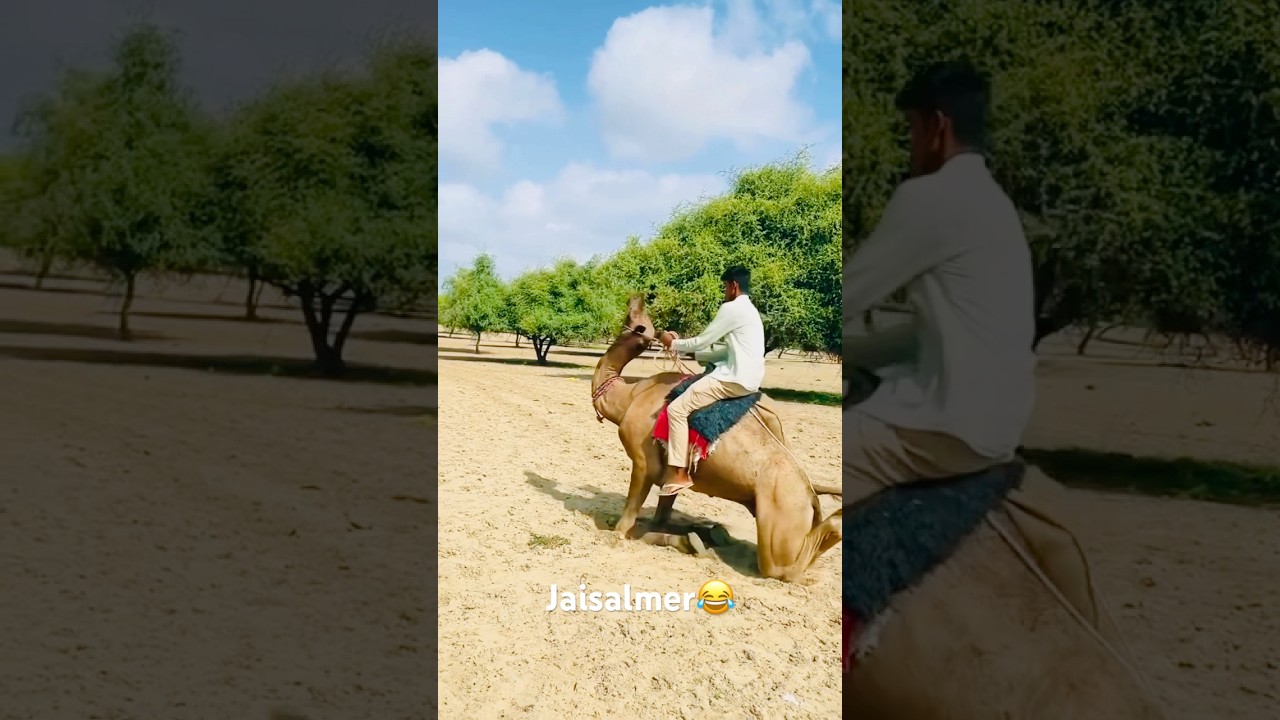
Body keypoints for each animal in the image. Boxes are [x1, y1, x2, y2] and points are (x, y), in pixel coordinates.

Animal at [589, 295, 843, 582]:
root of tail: (810, 494)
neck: (628, 397)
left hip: (782, 515)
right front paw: (692, 541)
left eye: (633, 316)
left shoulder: (644, 462)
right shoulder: (671, 474)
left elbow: (627, 525)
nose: (636, 296)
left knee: (782, 567)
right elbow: (660, 517)